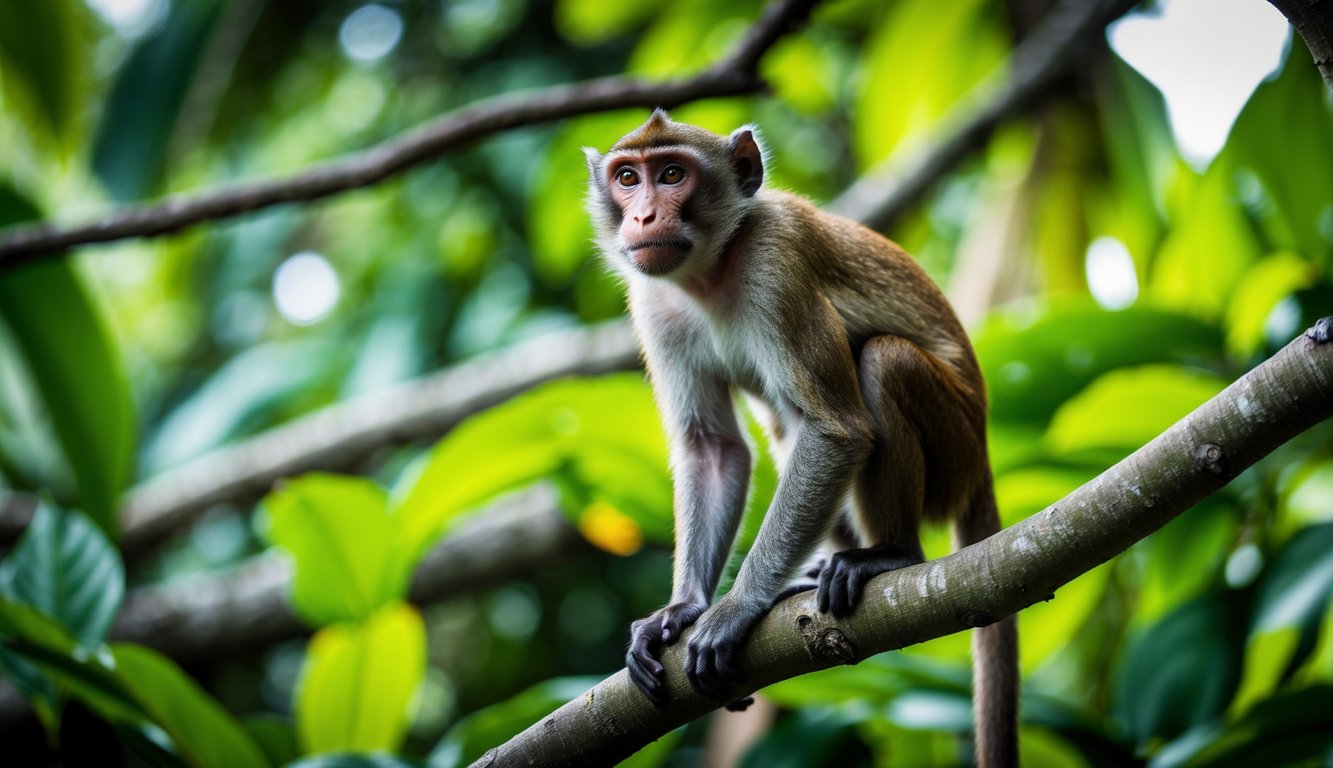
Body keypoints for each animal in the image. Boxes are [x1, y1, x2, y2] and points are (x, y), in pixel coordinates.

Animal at [583, 109, 1018, 768]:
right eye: (628, 177)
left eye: (673, 174)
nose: (644, 217)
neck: (711, 271)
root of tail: (983, 461)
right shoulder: (654, 300)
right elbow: (713, 450)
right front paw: (682, 609)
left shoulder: (776, 260)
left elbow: (837, 431)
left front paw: (734, 609)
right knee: (787, 424)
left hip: (957, 447)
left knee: (883, 363)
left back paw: (891, 553)